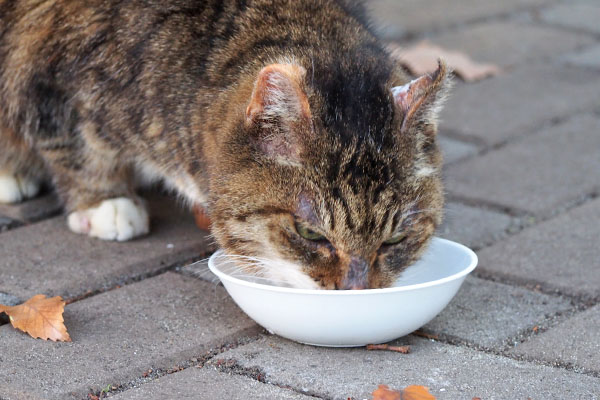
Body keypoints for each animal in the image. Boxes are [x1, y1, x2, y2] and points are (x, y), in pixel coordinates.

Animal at [0, 0, 450, 288]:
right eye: (309, 232)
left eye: (394, 240)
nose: (356, 291)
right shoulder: (51, 82)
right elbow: (77, 146)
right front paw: (104, 201)